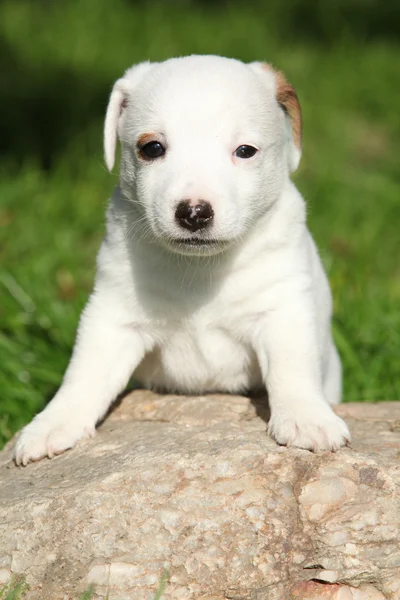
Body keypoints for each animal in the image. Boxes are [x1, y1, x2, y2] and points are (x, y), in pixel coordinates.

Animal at [14, 54, 350, 466]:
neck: (201, 270)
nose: (193, 213)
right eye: (152, 148)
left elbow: (293, 368)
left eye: (245, 151)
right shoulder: (112, 316)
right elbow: (85, 372)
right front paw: (52, 423)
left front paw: (308, 418)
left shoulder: (283, 309)